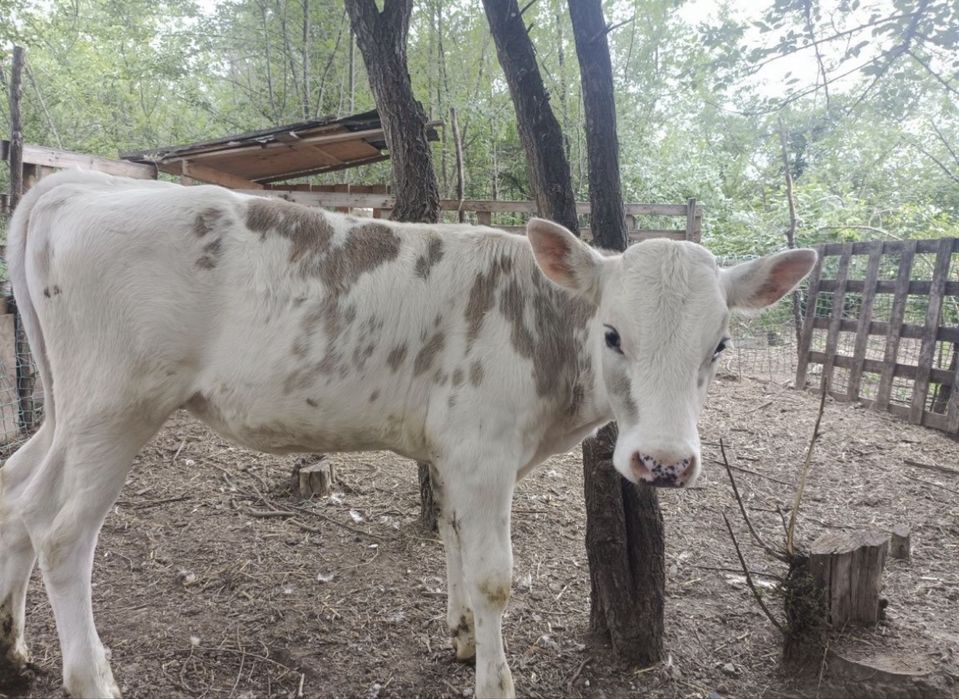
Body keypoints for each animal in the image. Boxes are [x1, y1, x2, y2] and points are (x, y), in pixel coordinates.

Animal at [0, 170, 816, 698]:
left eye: (719, 345)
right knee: (62, 533)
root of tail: (77, 184)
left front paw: (461, 637)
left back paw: (13, 646)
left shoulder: (457, 452)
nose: (664, 462)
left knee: (17, 496)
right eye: (612, 333)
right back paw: (92, 678)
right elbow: (494, 575)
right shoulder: (484, 450)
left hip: (68, 407)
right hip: (116, 406)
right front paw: (495, 680)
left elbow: (454, 540)